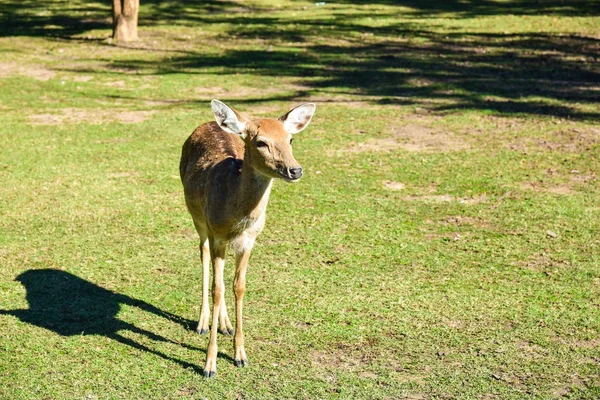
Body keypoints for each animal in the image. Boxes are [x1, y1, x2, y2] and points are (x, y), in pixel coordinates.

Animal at [179, 98, 316, 376]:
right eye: (261, 142)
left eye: (290, 139)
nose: (295, 170)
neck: (238, 220)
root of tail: (209, 122)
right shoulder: (217, 234)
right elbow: (217, 289)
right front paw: (209, 365)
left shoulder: (250, 240)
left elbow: (238, 287)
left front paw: (240, 355)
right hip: (198, 218)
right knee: (203, 254)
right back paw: (202, 323)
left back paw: (225, 324)